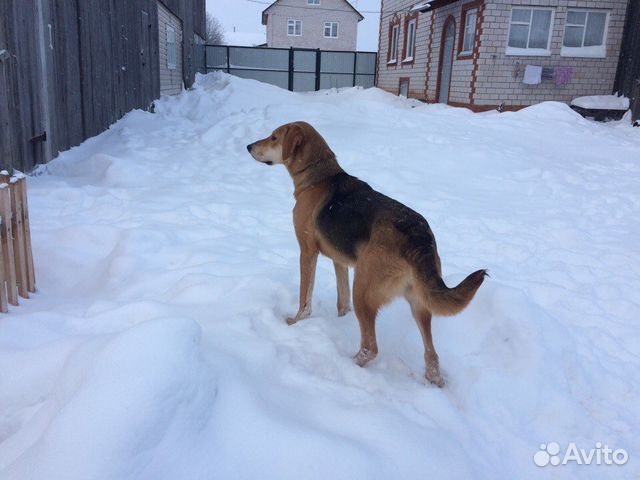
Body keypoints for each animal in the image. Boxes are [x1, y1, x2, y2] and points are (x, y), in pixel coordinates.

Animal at [246, 121, 484, 386]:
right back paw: (435, 379)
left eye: (274, 137)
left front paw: (295, 323)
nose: (248, 147)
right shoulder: (339, 261)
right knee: (431, 355)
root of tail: (418, 237)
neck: (317, 176)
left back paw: (346, 364)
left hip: (364, 288)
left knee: (370, 347)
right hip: (419, 303)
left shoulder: (307, 252)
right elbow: (342, 302)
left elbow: (304, 299)